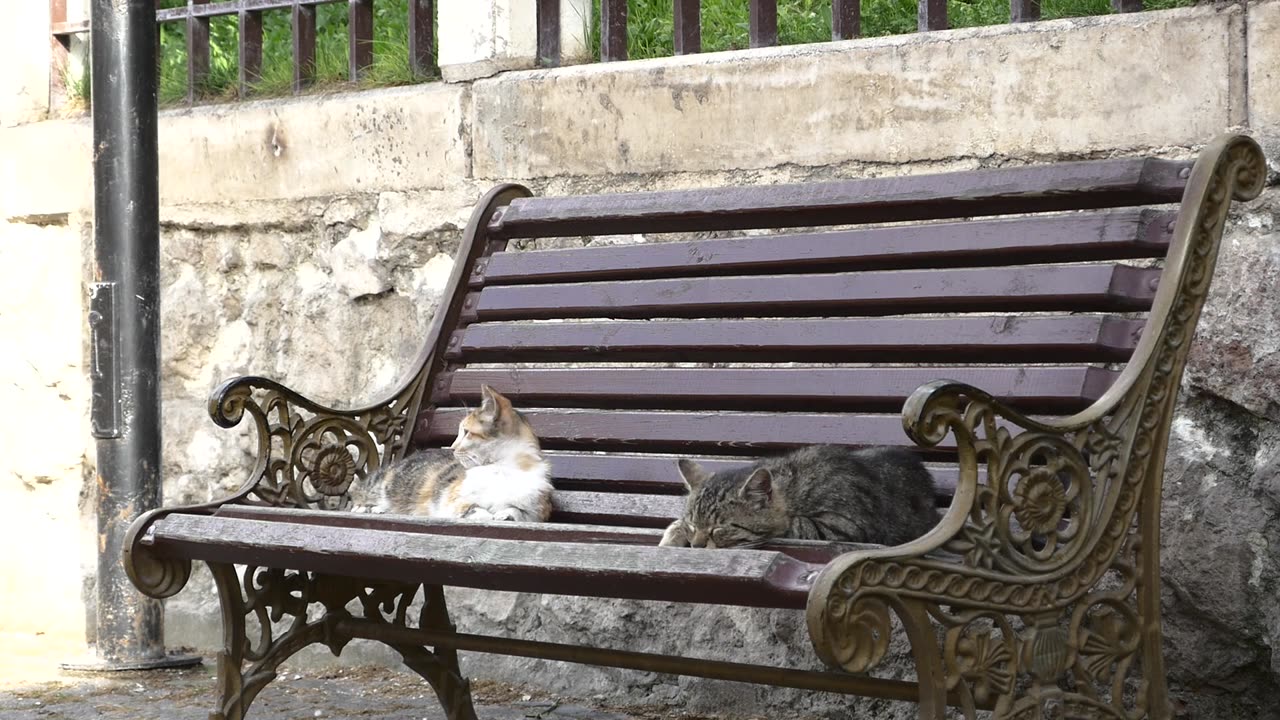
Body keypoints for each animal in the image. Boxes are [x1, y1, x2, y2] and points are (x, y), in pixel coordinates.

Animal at [348, 384, 552, 517]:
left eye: (467, 432)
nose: (452, 447)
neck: (503, 468)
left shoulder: (538, 511)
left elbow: (517, 511)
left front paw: (504, 514)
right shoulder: (453, 501)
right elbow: (476, 510)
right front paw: (487, 514)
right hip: (382, 483)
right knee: (361, 493)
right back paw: (367, 507)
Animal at [660, 440, 942, 545]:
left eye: (720, 528)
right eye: (693, 525)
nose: (697, 546)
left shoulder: (844, 526)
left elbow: (794, 525)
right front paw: (674, 534)